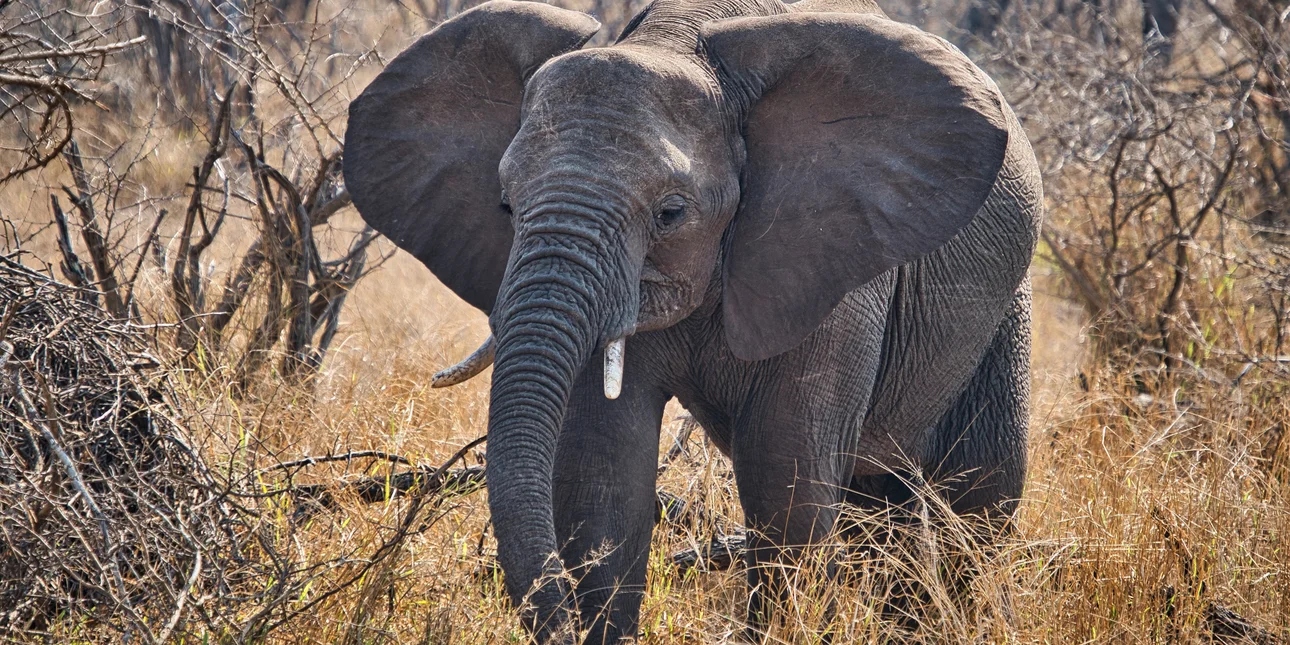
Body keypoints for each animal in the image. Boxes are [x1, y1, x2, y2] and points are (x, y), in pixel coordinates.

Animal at [340, 1, 1037, 639]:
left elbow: (786, 478)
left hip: (1006, 304)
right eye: (506, 205)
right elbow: (602, 475)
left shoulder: (840, 265)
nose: (555, 623)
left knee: (975, 503)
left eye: (671, 213)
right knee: (883, 510)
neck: (677, 42)